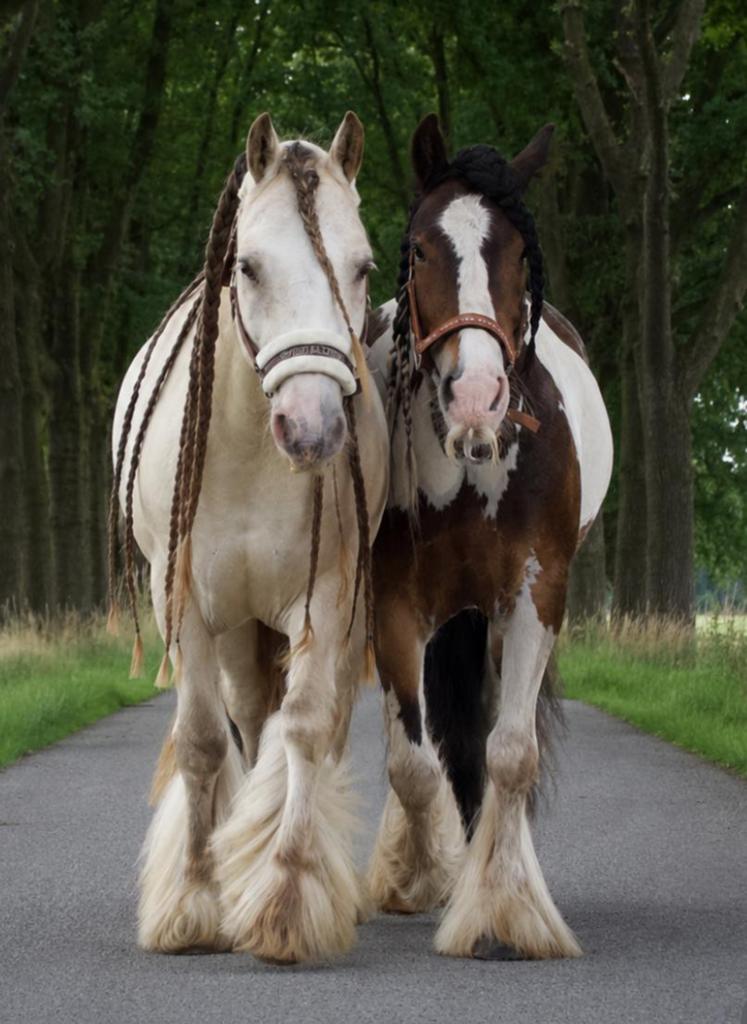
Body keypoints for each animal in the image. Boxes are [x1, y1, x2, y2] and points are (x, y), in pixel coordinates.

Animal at [110, 112, 388, 964]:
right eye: (249, 266)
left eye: (363, 266)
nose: (313, 429)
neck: (242, 447)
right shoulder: (189, 606)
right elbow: (204, 741)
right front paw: (195, 902)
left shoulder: (327, 599)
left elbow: (304, 729)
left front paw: (287, 898)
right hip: (236, 629)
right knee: (244, 716)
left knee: (303, 725)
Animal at [366, 115, 613, 960]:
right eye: (417, 248)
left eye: (519, 253)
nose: (476, 396)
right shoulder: (393, 604)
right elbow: (414, 762)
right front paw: (424, 877)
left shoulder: (535, 594)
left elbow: (509, 753)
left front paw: (504, 910)